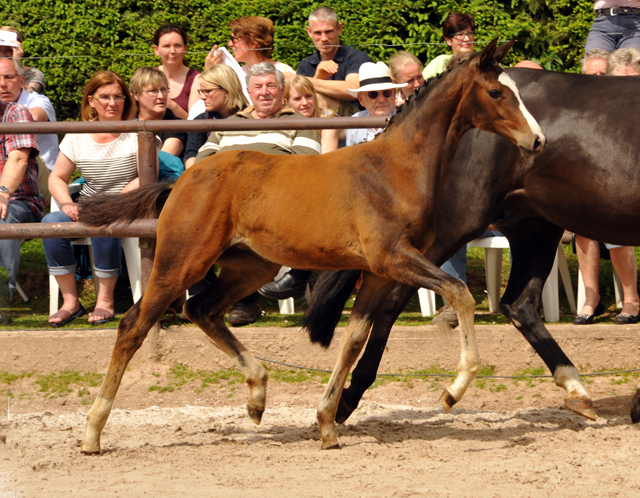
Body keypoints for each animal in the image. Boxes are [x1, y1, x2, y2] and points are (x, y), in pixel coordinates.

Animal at [77, 40, 544, 454]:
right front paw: (454, 390)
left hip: (252, 267)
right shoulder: (394, 258)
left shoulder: (378, 272)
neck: (396, 170)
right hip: (182, 261)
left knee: (201, 310)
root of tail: (181, 181)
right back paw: (93, 432)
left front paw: (327, 425)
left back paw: (257, 396)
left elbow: (354, 340)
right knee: (134, 324)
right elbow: (460, 293)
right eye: (497, 92)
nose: (537, 141)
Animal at [302, 64, 640, 426]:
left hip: (533, 228)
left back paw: (576, 389)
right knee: (393, 300)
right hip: (448, 231)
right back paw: (351, 397)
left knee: (518, 305)